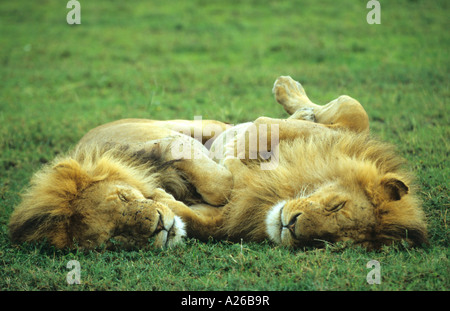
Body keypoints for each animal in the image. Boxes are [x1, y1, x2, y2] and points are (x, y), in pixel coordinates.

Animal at [8, 75, 428, 251]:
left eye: (336, 208)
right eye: (114, 239)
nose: (158, 224)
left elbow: (347, 111)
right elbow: (224, 181)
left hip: (197, 124)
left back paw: (291, 96)